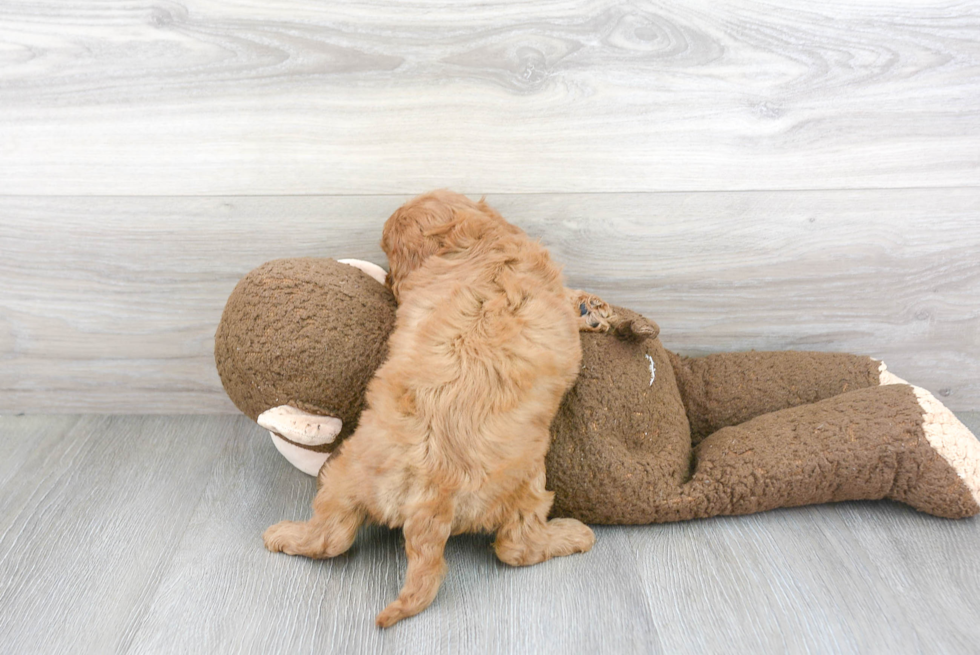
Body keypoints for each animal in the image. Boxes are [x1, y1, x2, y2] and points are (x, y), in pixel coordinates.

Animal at [266, 192, 604, 628]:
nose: (388, 282)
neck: (475, 242)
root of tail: (431, 495)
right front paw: (586, 309)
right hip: (528, 481)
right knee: (516, 545)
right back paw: (572, 534)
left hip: (345, 475)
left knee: (332, 536)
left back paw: (283, 536)